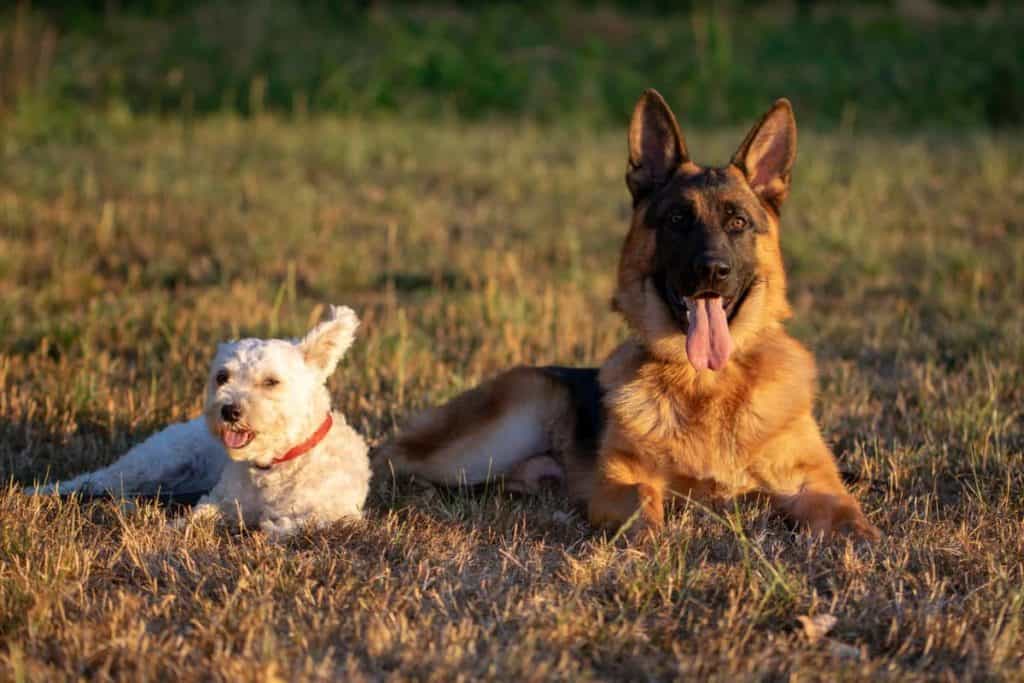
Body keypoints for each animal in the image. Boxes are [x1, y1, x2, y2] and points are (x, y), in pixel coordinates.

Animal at [27, 305, 372, 540]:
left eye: (271, 382)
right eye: (222, 377)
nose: (229, 411)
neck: (273, 465)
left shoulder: (335, 513)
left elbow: (292, 524)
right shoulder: (220, 500)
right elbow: (199, 516)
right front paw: (176, 528)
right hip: (155, 464)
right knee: (97, 479)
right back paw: (44, 491)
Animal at [380, 89, 876, 540]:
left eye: (738, 222)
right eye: (677, 219)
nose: (712, 271)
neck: (707, 385)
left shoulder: (813, 481)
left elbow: (847, 514)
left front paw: (861, 542)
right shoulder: (619, 482)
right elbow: (643, 502)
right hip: (494, 435)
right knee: (393, 457)